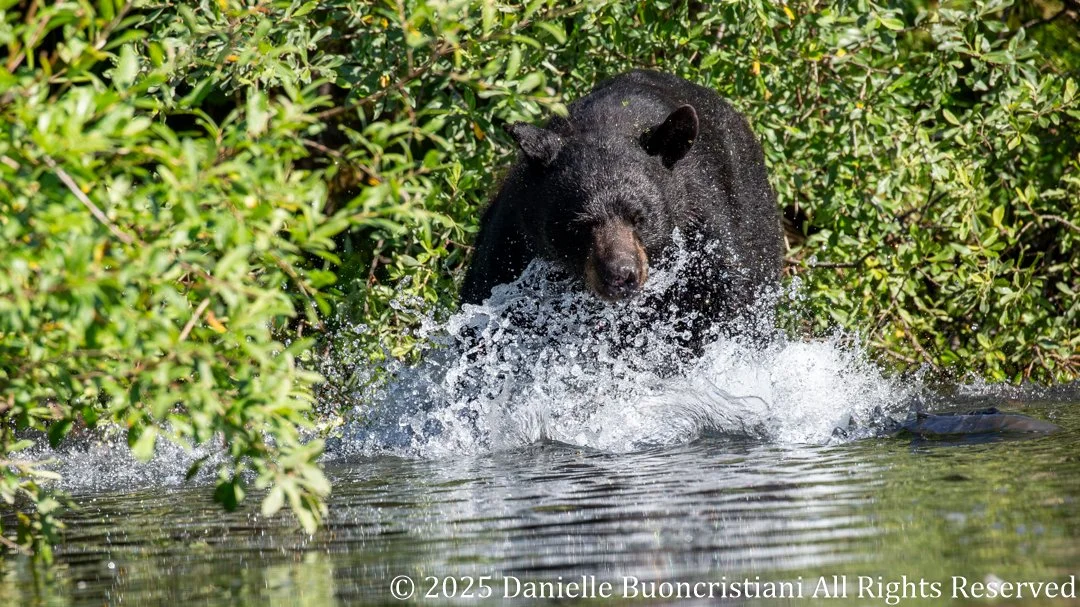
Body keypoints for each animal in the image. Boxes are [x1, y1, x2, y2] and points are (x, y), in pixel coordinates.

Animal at [461, 69, 783, 344]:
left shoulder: (704, 232)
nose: (620, 274)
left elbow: (726, 300)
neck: (610, 122)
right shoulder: (512, 238)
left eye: (640, 218)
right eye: (579, 225)